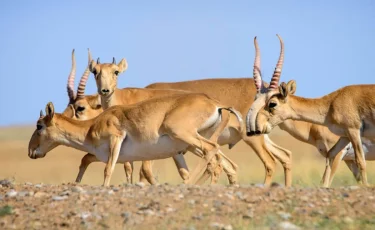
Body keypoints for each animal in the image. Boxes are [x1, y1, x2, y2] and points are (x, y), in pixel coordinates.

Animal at [27, 90, 242, 186]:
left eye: (39, 125)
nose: (31, 151)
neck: (92, 125)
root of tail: (215, 103)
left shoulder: (115, 140)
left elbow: (108, 170)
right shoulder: (103, 154)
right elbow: (85, 159)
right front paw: (76, 184)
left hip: (185, 136)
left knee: (211, 152)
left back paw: (188, 185)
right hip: (190, 144)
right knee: (220, 161)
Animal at [248, 35, 375, 187]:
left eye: (272, 103)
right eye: (256, 98)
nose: (257, 127)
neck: (332, 103)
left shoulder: (353, 132)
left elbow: (361, 161)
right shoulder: (344, 136)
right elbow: (330, 160)